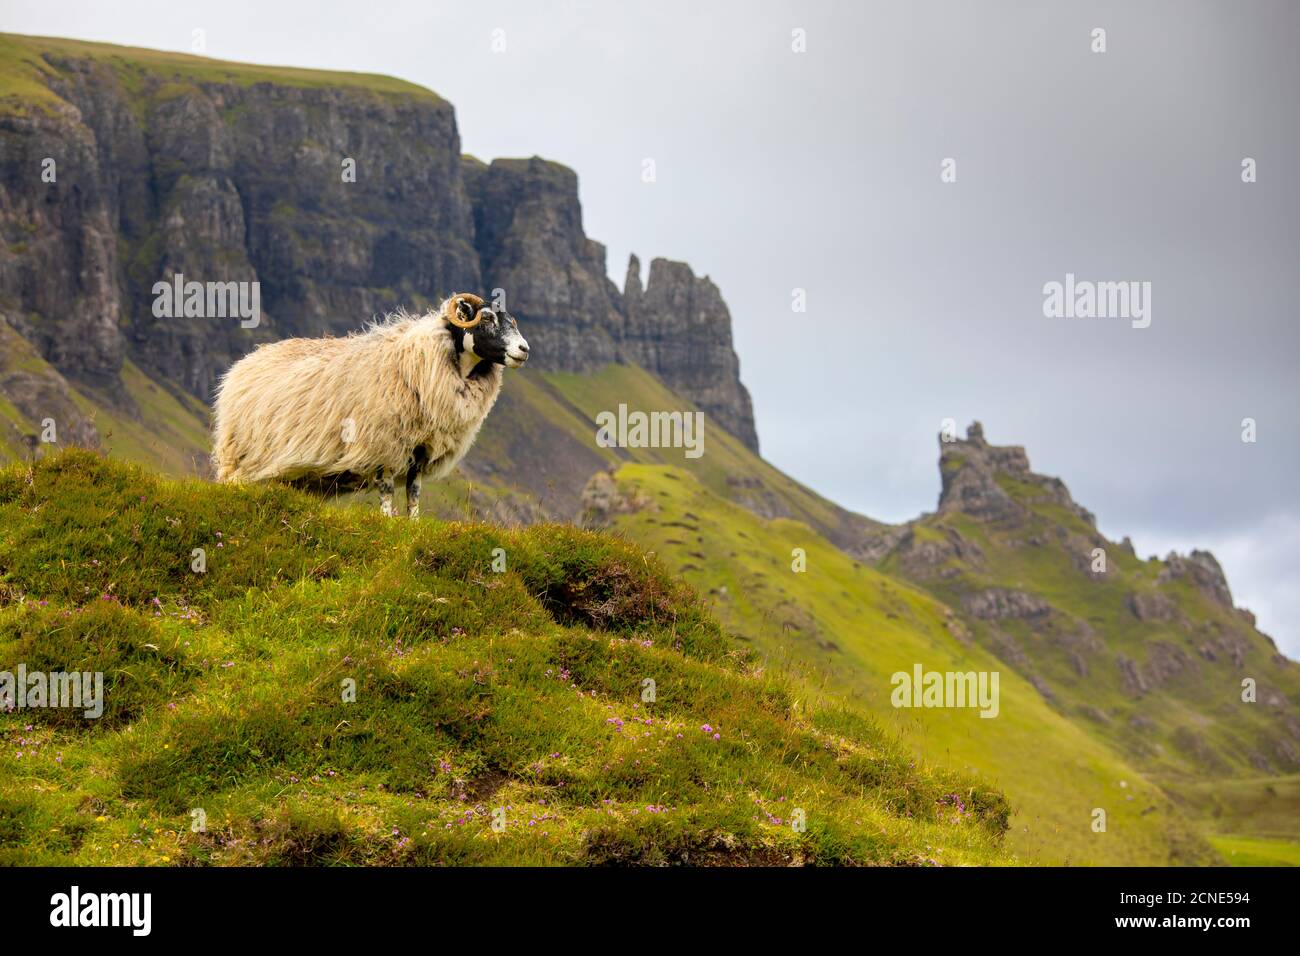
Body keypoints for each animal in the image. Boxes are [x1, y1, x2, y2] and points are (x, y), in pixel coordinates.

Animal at [215, 291, 530, 515]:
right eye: (486, 319)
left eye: (511, 321)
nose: (524, 349)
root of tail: (244, 363)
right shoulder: (383, 446)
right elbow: (387, 492)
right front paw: (387, 522)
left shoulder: (421, 450)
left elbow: (414, 494)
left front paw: (412, 525)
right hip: (238, 457)